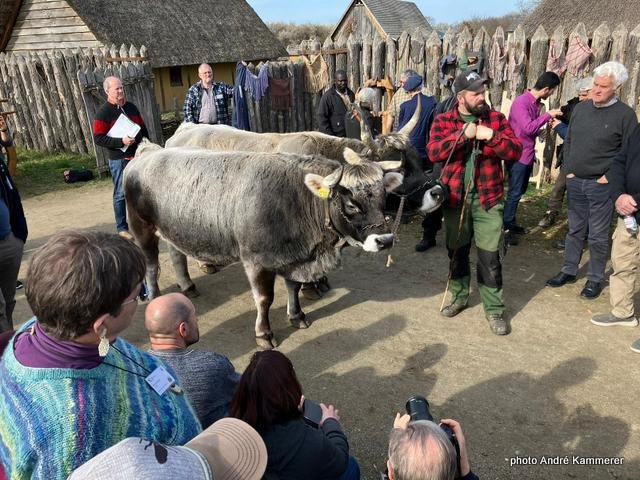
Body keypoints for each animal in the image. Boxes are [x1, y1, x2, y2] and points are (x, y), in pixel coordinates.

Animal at [124, 141, 404, 348]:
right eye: (351, 205)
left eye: (384, 197)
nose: (385, 240)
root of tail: (149, 152)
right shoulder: (256, 261)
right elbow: (264, 299)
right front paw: (264, 333)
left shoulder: (294, 259)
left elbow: (293, 287)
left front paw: (297, 315)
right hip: (142, 229)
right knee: (151, 266)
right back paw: (154, 297)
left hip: (172, 230)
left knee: (176, 256)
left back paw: (187, 285)